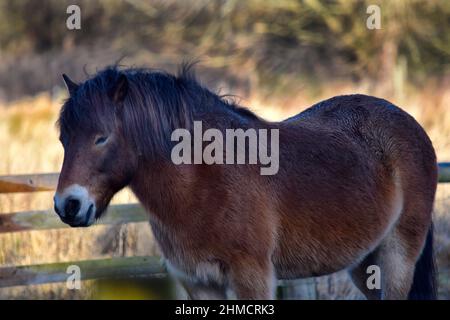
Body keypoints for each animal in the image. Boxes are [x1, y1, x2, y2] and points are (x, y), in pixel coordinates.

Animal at [54, 65, 438, 300]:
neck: (202, 181)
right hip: (365, 262)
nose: (67, 206)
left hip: (398, 256)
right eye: (64, 139)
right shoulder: (199, 283)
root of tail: (411, 124)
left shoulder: (252, 277)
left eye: (101, 138)